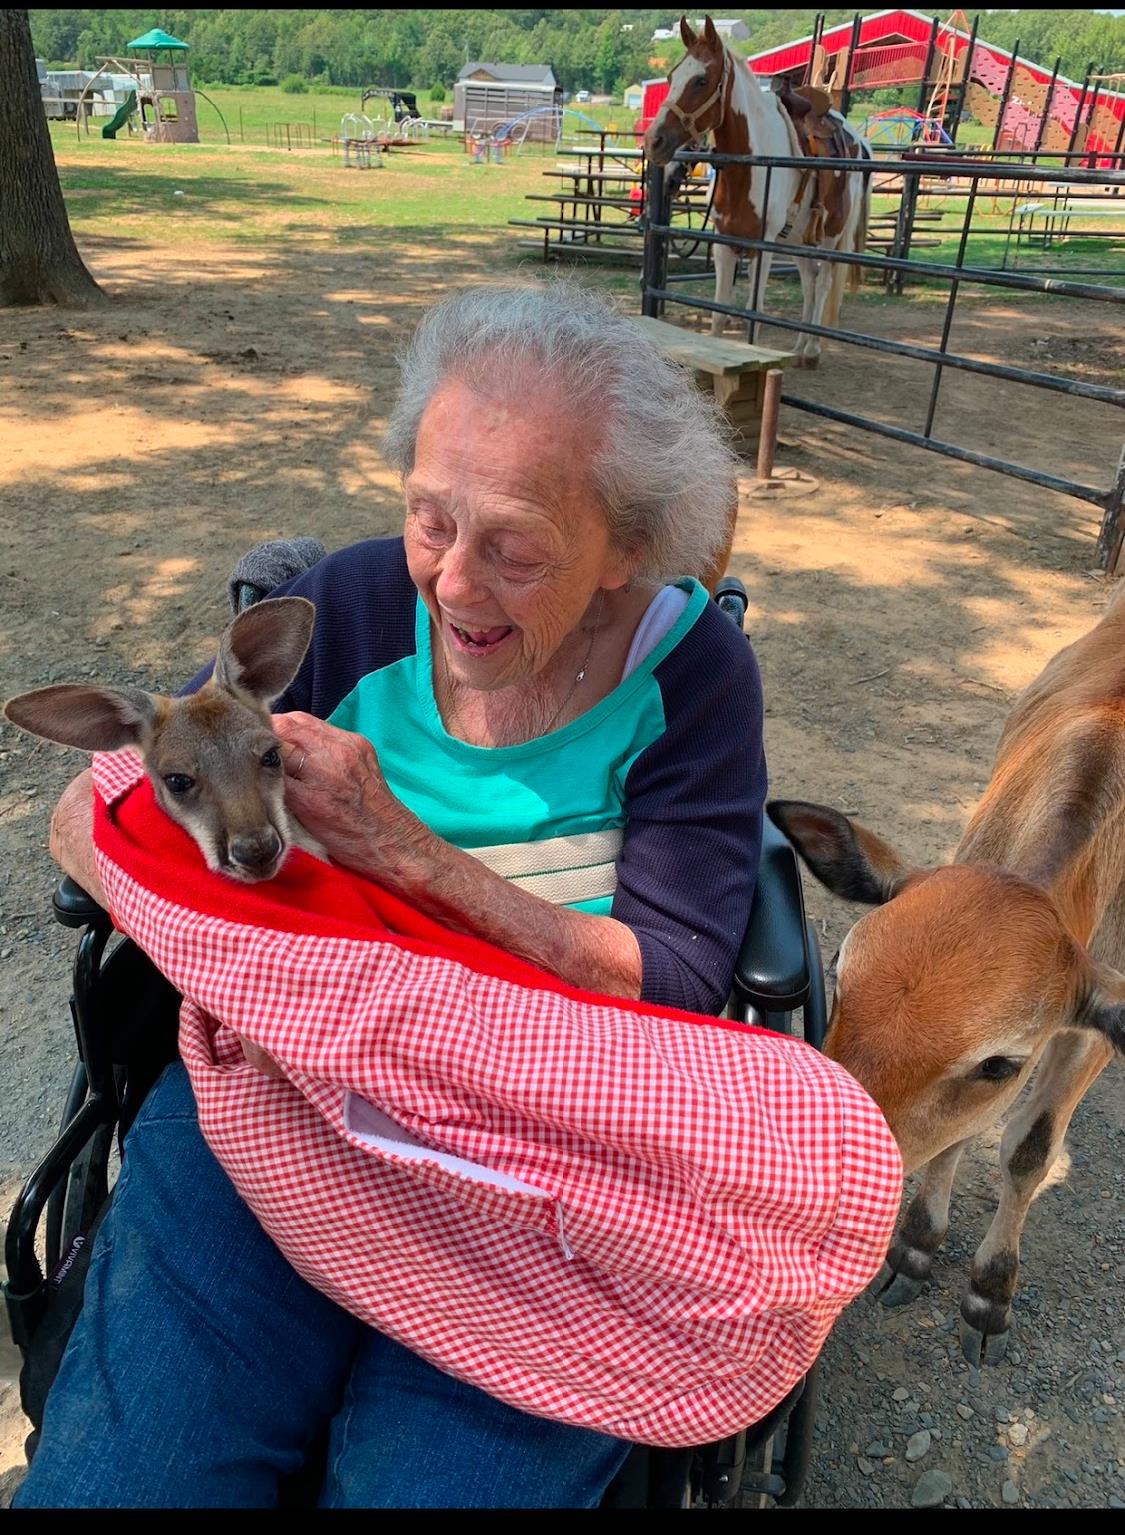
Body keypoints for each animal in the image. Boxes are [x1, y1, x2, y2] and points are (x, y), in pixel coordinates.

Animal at [769, 586, 1125, 1366]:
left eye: (999, 1062)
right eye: (839, 970)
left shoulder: (1090, 1031)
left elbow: (1027, 1149)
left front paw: (989, 1293)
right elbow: (961, 1139)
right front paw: (915, 1248)